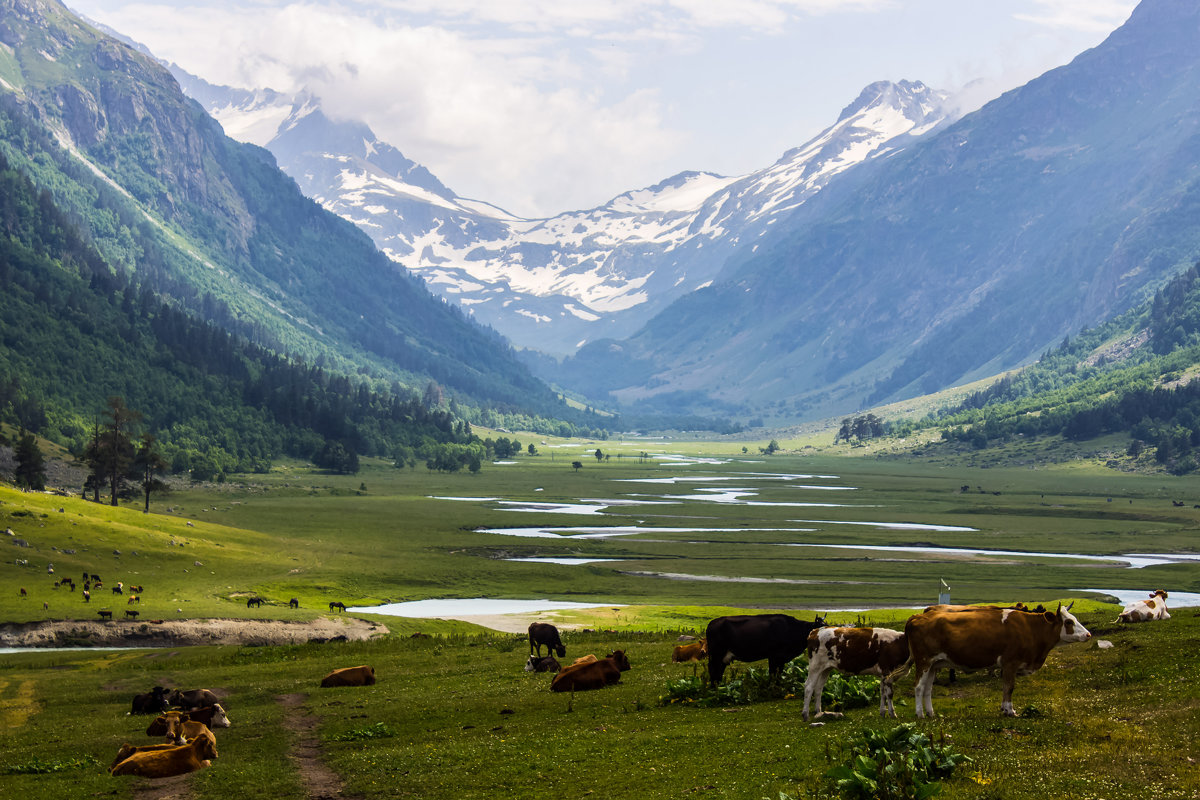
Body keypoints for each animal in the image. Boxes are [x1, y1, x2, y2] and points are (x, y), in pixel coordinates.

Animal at [902, 599, 1094, 719]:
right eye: (1068, 622)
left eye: (1074, 619)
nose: (1088, 634)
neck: (1030, 628)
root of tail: (917, 617)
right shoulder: (1010, 663)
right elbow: (1009, 687)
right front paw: (1009, 710)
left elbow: (1005, 687)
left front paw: (1004, 708)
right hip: (924, 661)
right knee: (918, 687)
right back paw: (920, 714)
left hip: (934, 665)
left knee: (928, 688)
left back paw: (931, 713)